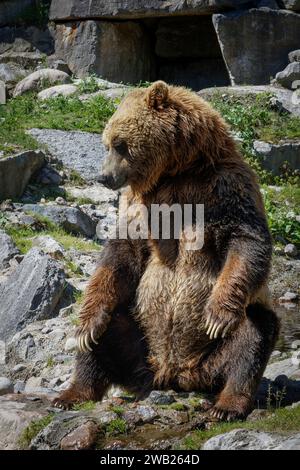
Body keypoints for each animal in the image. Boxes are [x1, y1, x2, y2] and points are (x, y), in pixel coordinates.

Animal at [53, 81, 278, 422]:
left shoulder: (225, 187)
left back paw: (227, 405)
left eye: (119, 144)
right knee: (107, 329)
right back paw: (73, 389)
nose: (104, 177)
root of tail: (174, 374)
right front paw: (86, 325)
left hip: (213, 357)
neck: (177, 171)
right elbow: (121, 255)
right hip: (139, 345)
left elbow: (246, 240)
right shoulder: (140, 204)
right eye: (106, 143)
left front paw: (216, 315)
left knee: (254, 334)